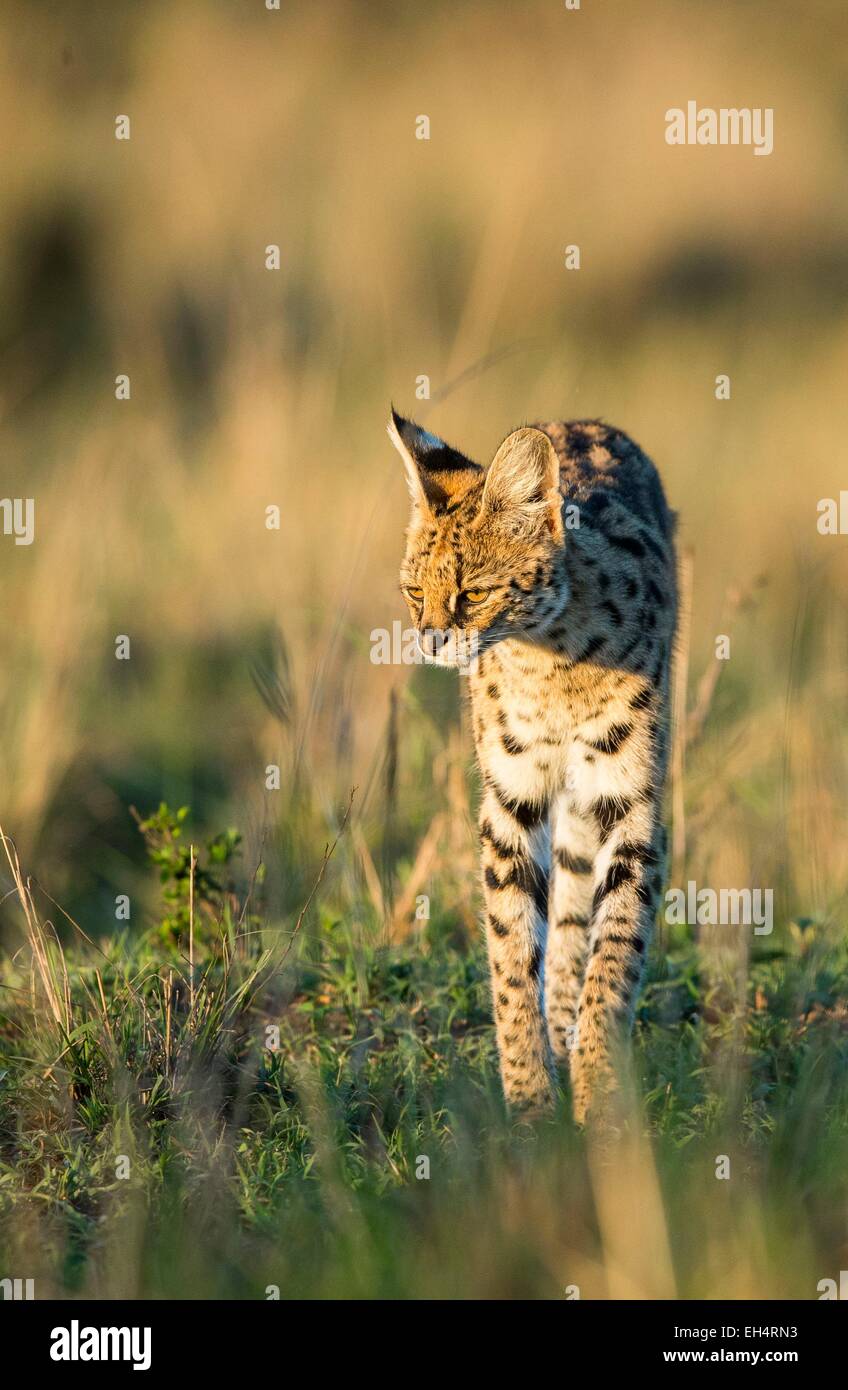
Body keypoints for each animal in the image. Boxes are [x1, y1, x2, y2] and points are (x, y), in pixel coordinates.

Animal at [389, 405, 672, 1123]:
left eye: (473, 593)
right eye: (414, 590)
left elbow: (616, 943)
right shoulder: (510, 799)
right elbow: (511, 950)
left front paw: (599, 1092)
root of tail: (578, 419)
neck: (550, 654)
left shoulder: (632, 798)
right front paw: (529, 1102)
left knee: (575, 906)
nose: (429, 641)